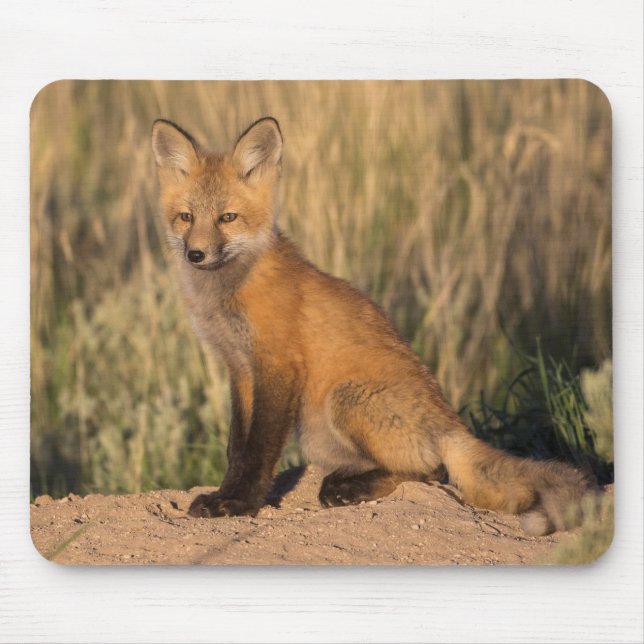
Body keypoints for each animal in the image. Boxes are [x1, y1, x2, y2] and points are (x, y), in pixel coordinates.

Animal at [151, 116, 594, 536]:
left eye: (227, 218)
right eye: (186, 217)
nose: (195, 254)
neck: (227, 293)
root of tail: (452, 424)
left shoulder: (276, 366)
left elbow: (258, 451)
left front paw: (238, 504)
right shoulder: (240, 369)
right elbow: (236, 447)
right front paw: (226, 493)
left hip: (345, 399)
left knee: (432, 471)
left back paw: (347, 490)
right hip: (316, 432)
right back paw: (345, 479)